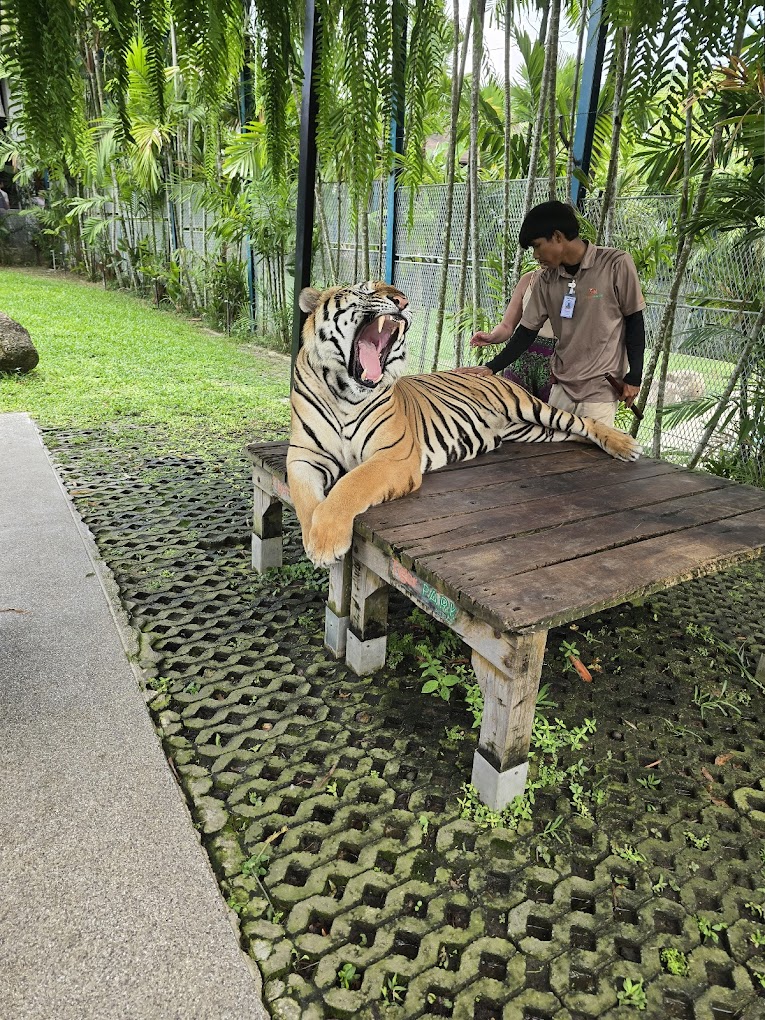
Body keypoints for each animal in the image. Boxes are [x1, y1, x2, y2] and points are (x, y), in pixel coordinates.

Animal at [287, 280, 642, 567]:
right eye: (365, 289)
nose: (402, 300)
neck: (343, 393)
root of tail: (485, 372)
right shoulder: (304, 457)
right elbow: (305, 498)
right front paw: (314, 535)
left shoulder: (394, 456)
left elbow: (351, 485)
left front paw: (325, 540)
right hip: (532, 431)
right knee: (569, 432)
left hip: (531, 407)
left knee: (580, 420)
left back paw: (624, 445)